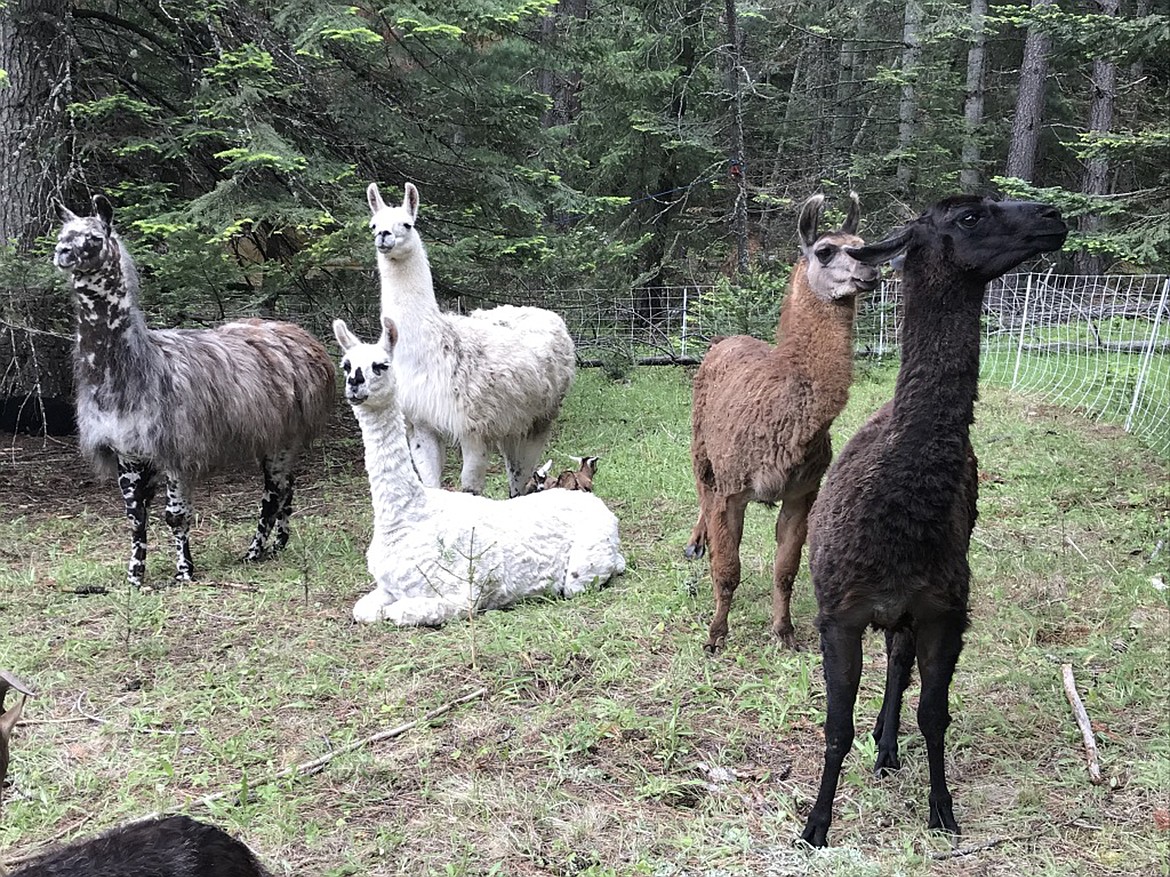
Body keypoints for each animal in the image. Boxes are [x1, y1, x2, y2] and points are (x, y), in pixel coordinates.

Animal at [56, 195, 336, 587]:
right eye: (62, 234)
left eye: (94, 237)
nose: (62, 252)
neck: (133, 372)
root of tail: (303, 336)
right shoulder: (126, 449)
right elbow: (135, 518)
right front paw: (134, 578)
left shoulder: (176, 447)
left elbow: (176, 515)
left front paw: (184, 572)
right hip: (273, 432)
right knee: (288, 486)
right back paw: (278, 544)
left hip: (285, 434)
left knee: (272, 491)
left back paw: (254, 552)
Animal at [334, 315, 627, 626]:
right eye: (346, 365)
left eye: (382, 365)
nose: (355, 384)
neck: (408, 516)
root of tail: (595, 503)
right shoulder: (388, 586)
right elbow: (363, 609)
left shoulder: (465, 591)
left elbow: (400, 612)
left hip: (584, 565)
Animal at [369, 182, 575, 498]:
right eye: (373, 224)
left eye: (407, 223)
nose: (383, 235)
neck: (429, 351)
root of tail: (544, 312)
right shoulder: (421, 421)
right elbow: (432, 483)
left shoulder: (473, 425)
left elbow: (470, 488)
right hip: (510, 421)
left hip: (540, 415)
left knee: (520, 475)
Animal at [804, 195, 1062, 846]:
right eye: (970, 216)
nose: (1052, 215)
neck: (900, 514)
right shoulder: (839, 613)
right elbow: (836, 726)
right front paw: (816, 825)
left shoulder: (945, 610)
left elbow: (935, 715)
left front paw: (942, 811)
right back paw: (881, 746)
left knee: (899, 665)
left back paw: (888, 745)